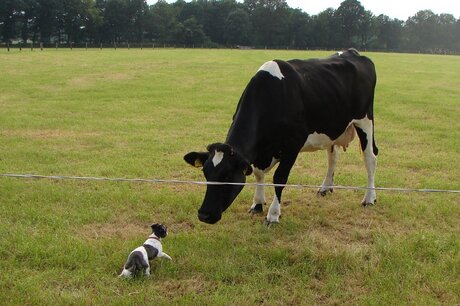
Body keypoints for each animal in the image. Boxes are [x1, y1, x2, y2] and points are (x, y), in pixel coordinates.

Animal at [183, 48, 378, 225]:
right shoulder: (261, 152)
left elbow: (279, 178)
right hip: (332, 127)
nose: (204, 214)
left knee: (370, 156)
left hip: (365, 120)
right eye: (206, 174)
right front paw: (257, 204)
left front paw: (273, 214)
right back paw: (325, 187)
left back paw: (369, 198)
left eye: (227, 177)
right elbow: (258, 173)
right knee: (333, 156)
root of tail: (353, 52)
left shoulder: (293, 144)